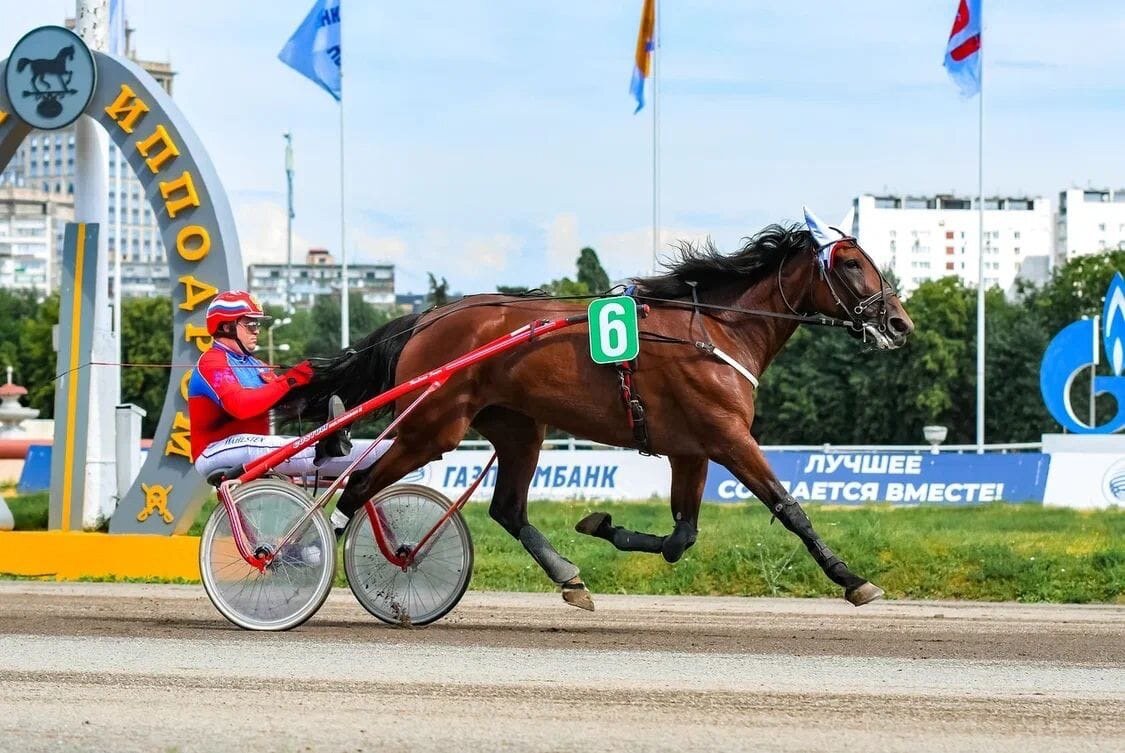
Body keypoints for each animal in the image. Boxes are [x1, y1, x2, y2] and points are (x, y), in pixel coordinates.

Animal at [281, 212, 913, 612]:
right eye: (852, 264)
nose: (900, 323)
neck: (714, 332)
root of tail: (426, 318)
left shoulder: (691, 447)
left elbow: (682, 536)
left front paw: (602, 524)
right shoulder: (728, 437)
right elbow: (790, 508)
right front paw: (852, 579)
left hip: (518, 428)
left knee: (507, 509)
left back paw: (569, 577)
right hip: (433, 426)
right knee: (358, 488)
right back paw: (309, 554)